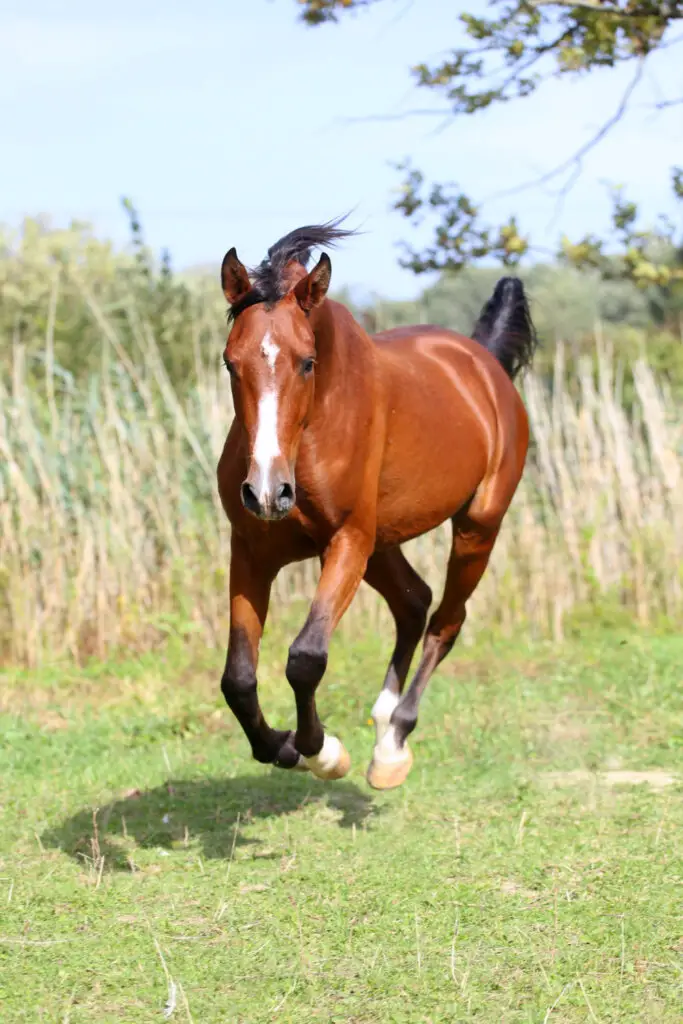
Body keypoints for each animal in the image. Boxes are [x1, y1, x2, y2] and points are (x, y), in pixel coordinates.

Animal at [216, 220, 536, 786]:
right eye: (231, 363)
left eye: (307, 362)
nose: (269, 492)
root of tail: (484, 362)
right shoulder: (252, 551)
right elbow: (237, 678)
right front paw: (280, 746)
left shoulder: (346, 541)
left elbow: (306, 657)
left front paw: (321, 750)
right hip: (384, 541)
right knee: (414, 601)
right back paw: (384, 718)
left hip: (476, 528)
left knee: (446, 621)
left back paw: (392, 745)